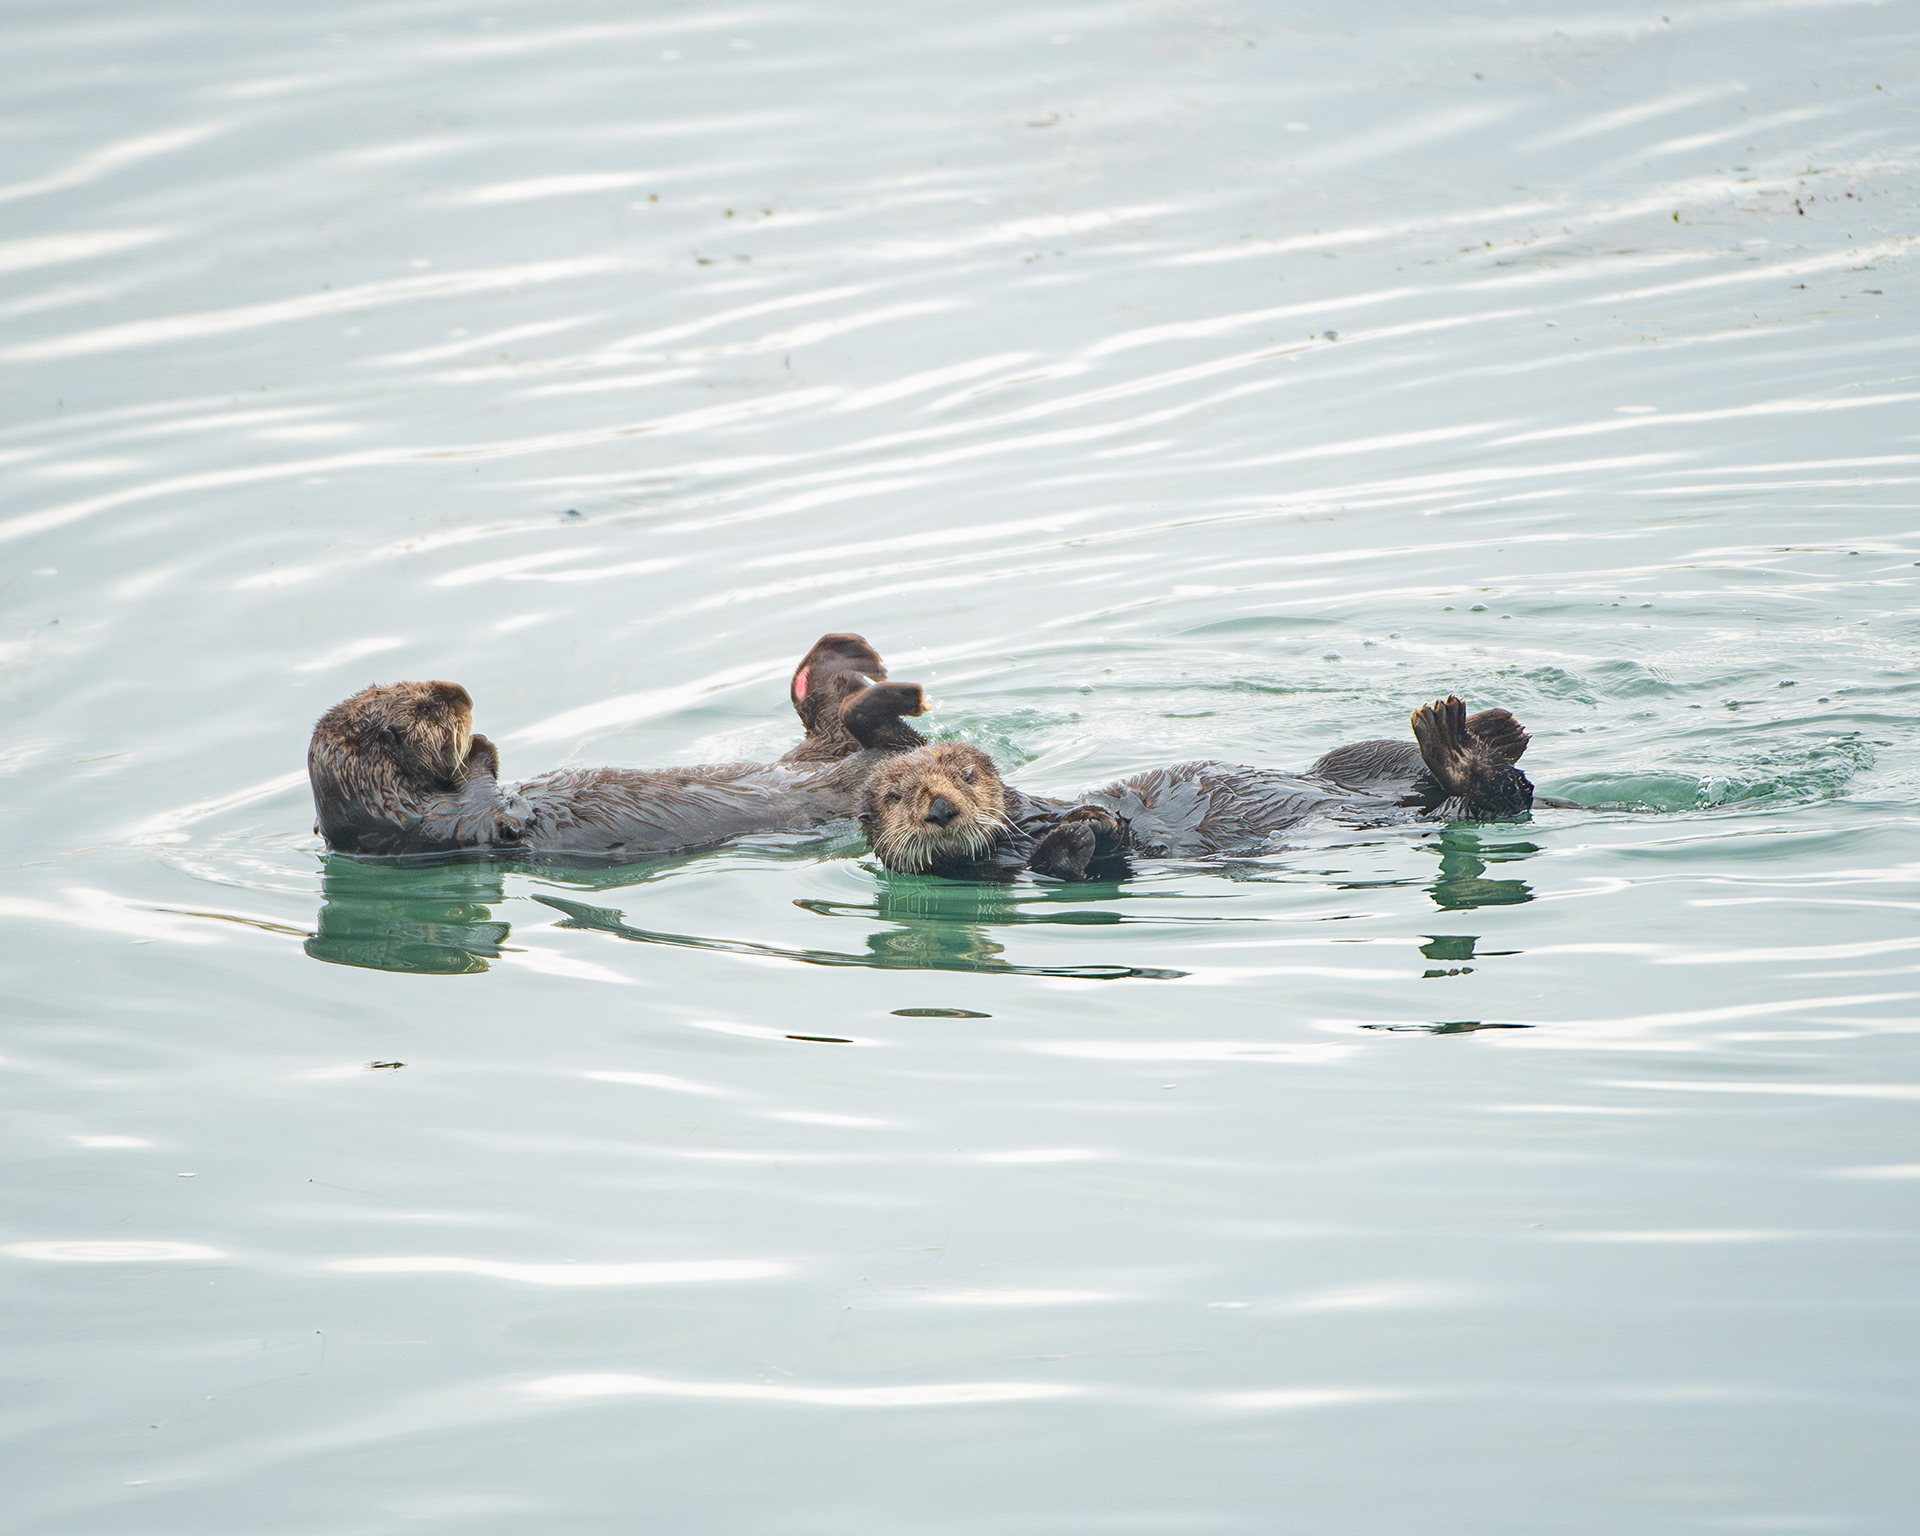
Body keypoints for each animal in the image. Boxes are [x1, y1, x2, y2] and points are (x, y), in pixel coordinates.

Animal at [308, 633, 930, 859]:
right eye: (424, 708)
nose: (461, 693)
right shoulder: (443, 827)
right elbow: (494, 807)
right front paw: (478, 745)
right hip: (857, 768)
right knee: (872, 730)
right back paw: (894, 689)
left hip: (817, 753)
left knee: (833, 722)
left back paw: (843, 658)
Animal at [858, 695, 1543, 882]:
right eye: (896, 797)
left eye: (966, 776)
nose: (940, 806)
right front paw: (1087, 827)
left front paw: (1093, 816)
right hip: (1443, 802)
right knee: (1499, 795)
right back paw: (1464, 748)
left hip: (1355, 761)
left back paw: (1482, 727)